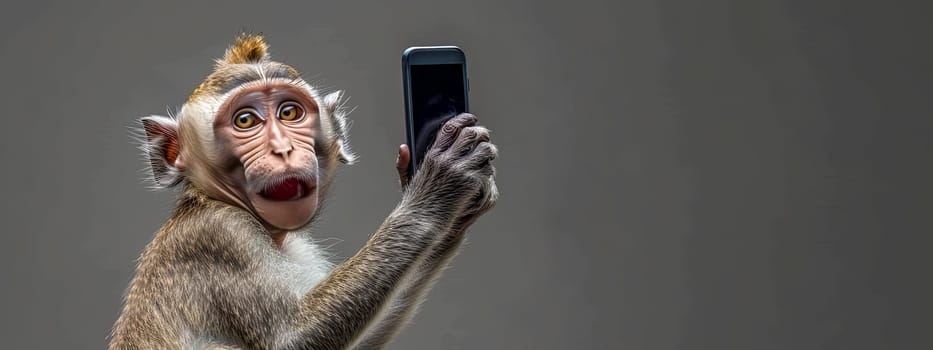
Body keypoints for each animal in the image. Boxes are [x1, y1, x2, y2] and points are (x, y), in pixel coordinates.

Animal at [110, 34, 498, 350]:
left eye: (289, 113)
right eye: (245, 121)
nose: (282, 149)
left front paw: (457, 211)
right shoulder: (219, 237)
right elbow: (290, 338)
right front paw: (436, 186)